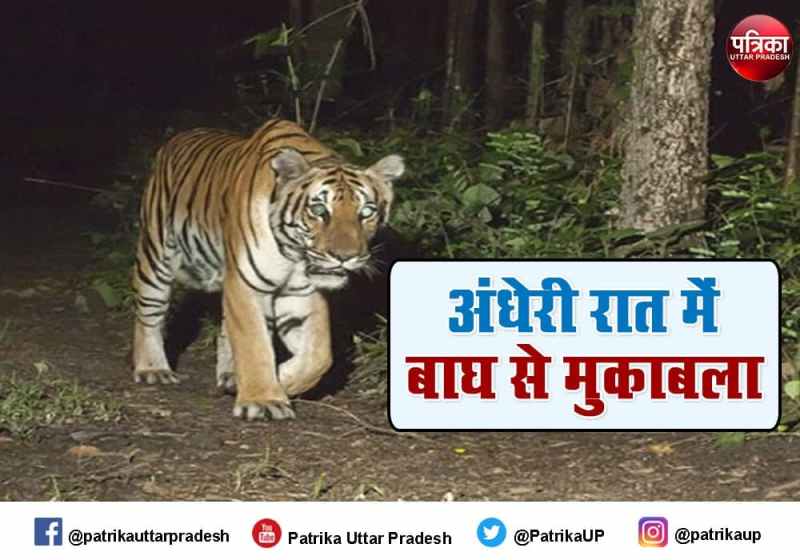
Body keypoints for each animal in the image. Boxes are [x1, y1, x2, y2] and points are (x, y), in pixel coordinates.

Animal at [131, 118, 404, 421]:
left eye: (366, 212)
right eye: (319, 210)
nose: (345, 257)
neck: (293, 254)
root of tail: (180, 136)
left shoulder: (301, 294)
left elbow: (319, 356)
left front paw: (278, 381)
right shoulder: (246, 286)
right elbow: (254, 343)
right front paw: (263, 400)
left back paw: (229, 376)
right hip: (156, 255)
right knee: (148, 315)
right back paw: (153, 369)